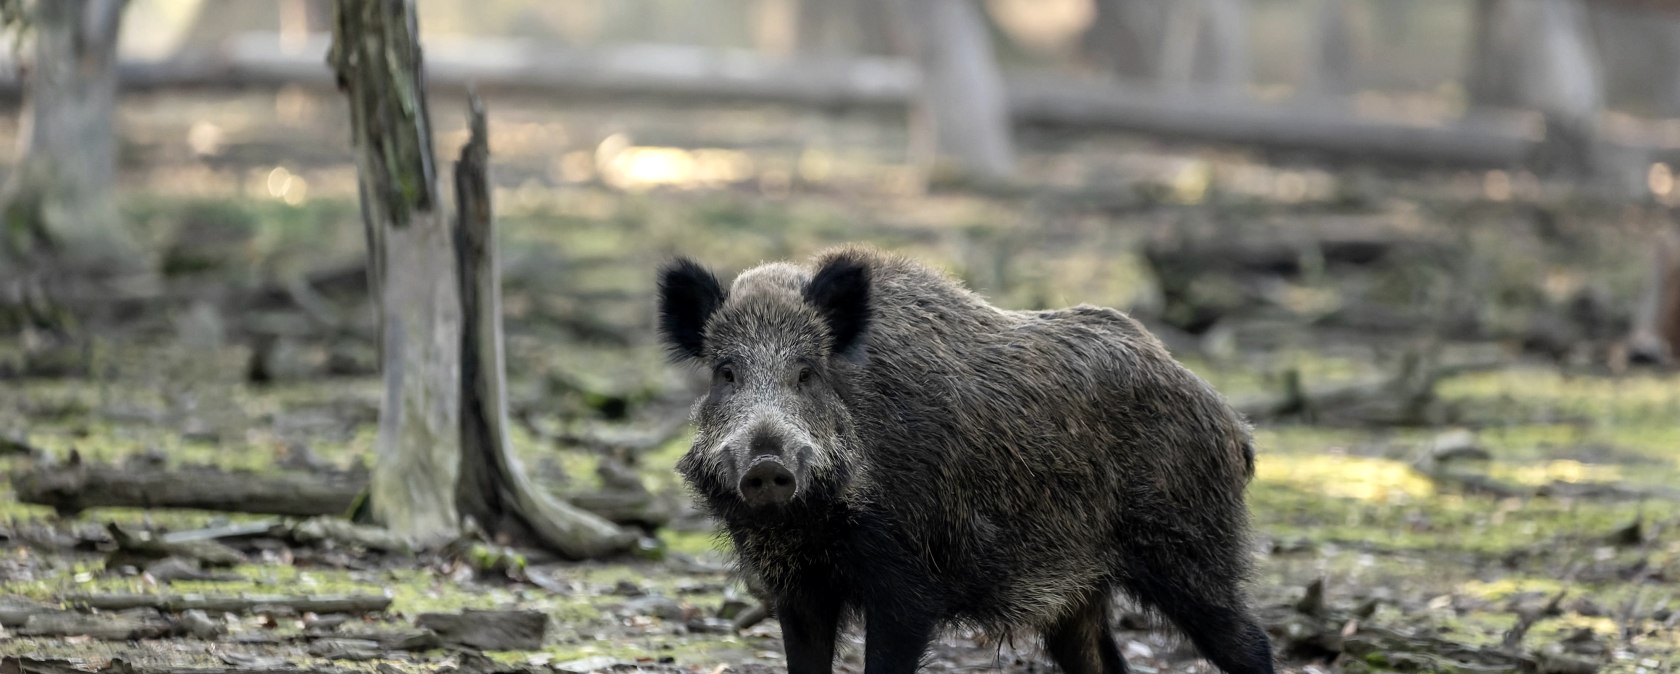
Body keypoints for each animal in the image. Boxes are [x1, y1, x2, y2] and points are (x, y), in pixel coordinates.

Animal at [657, 245, 1274, 674]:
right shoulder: (798, 590)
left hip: (1189, 548)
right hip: (1079, 590)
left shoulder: (907, 582)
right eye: (726, 373)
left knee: (1250, 642)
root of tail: (1233, 426)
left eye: (807, 373)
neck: (813, 525)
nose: (766, 465)